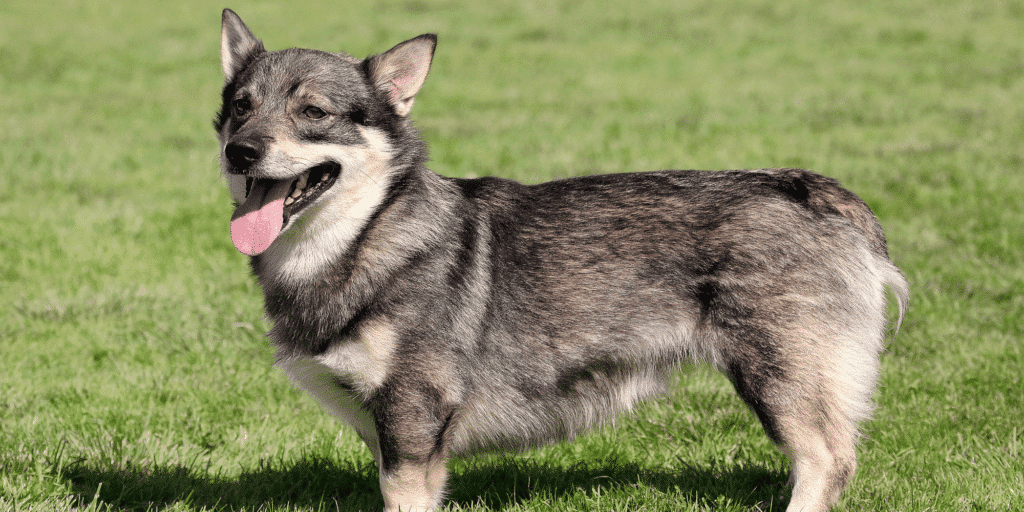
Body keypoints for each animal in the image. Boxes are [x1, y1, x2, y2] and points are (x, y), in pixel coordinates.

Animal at [216, 9, 913, 512]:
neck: (369, 234)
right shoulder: (389, 436)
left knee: (827, 462)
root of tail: (810, 190)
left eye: (313, 112)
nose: (239, 151)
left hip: (778, 375)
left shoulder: (413, 430)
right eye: (241, 107)